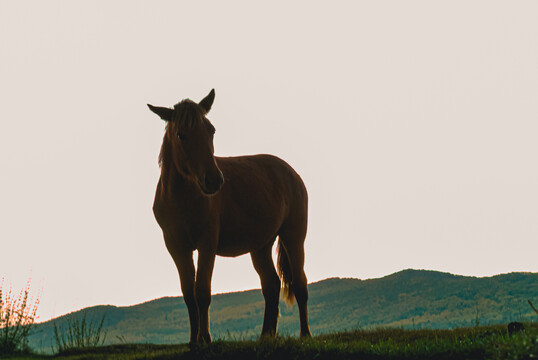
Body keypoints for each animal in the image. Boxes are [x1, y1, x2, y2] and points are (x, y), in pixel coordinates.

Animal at [149, 89, 312, 344]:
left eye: (211, 130)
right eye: (181, 135)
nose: (214, 181)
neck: (183, 198)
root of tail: (291, 173)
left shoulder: (207, 243)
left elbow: (202, 291)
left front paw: (205, 339)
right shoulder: (176, 246)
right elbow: (188, 294)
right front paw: (194, 341)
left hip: (293, 236)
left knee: (299, 284)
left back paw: (305, 334)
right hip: (261, 245)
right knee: (271, 285)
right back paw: (266, 335)